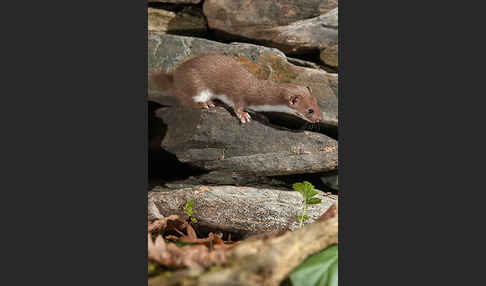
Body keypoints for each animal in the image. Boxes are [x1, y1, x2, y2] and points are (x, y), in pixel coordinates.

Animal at [148, 53, 322, 124]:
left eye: (318, 105)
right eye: (310, 110)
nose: (320, 119)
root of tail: (175, 77)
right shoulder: (239, 94)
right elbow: (237, 105)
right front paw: (244, 115)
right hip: (195, 83)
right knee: (185, 99)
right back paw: (205, 103)